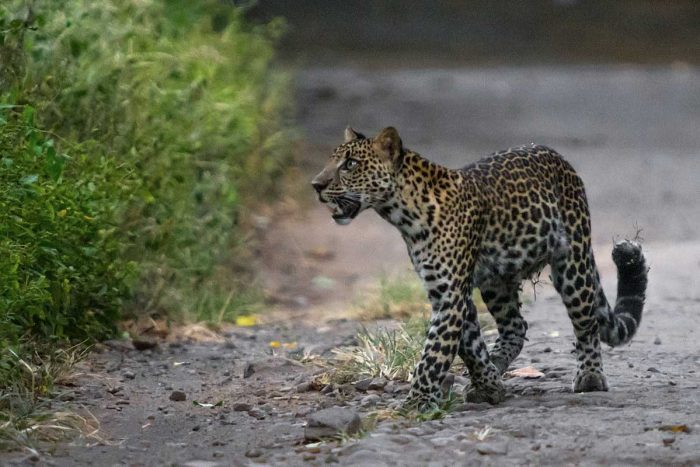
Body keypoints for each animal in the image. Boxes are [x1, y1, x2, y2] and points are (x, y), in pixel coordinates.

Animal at [314, 127, 652, 410]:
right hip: (496, 282)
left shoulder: (450, 296)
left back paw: (590, 377)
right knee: (516, 326)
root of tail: (558, 157)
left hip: (572, 263)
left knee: (585, 324)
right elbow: (469, 345)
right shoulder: (447, 291)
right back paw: (497, 364)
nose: (316, 185)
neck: (403, 214)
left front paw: (416, 403)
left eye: (350, 164)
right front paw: (488, 385)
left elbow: (433, 354)